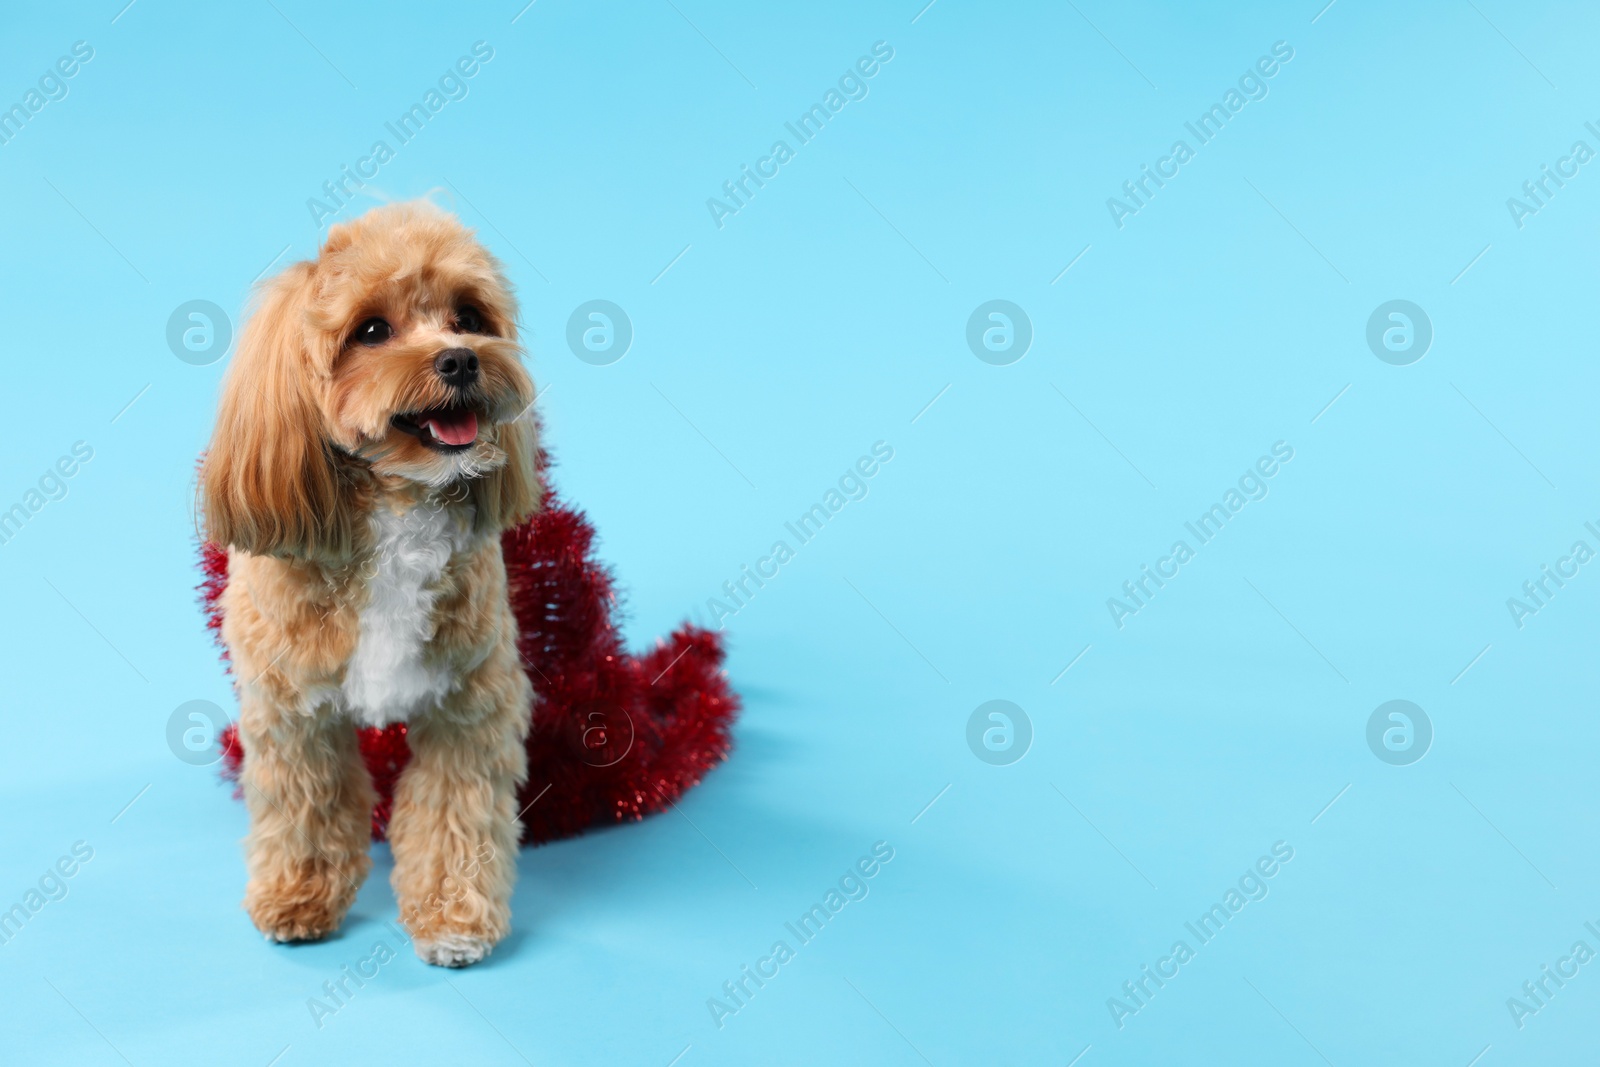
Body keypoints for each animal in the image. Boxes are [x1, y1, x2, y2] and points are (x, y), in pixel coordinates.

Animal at [198, 199, 537, 966]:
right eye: (372, 330)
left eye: (469, 315)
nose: (460, 358)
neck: (398, 506)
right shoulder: (295, 713)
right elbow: (307, 806)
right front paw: (297, 896)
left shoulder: (468, 706)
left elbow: (454, 813)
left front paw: (453, 917)